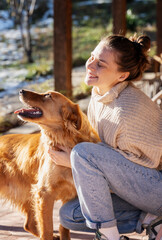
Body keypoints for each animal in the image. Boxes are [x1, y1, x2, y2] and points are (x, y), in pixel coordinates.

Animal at [0, 90, 100, 240]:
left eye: (48, 95)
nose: (21, 91)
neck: (64, 140)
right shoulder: (44, 193)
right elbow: (46, 229)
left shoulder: (70, 193)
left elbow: (63, 226)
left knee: (28, 224)